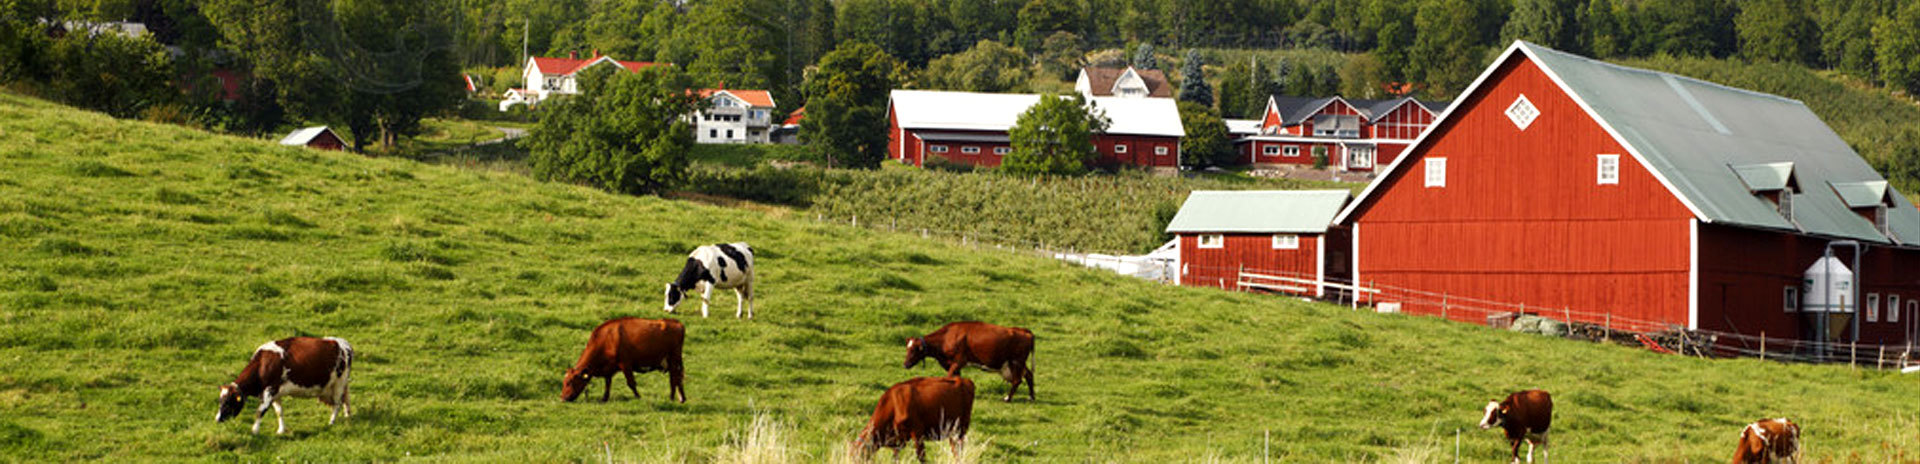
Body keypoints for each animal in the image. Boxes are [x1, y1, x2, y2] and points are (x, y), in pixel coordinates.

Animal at [216, 335, 355, 433]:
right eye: (220, 401)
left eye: (228, 401)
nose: (217, 419)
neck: (263, 364)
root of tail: (342, 342)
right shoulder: (276, 394)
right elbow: (279, 412)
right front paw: (281, 430)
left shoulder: (269, 390)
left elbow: (260, 411)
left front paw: (254, 431)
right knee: (345, 400)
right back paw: (347, 415)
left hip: (339, 383)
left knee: (337, 404)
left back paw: (331, 422)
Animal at [902, 320, 1036, 400]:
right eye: (907, 348)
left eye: (913, 350)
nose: (905, 364)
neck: (947, 337)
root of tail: (1023, 330)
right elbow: (956, 378)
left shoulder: (959, 361)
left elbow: (949, 376)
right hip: (1019, 363)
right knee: (1029, 375)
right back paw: (1031, 397)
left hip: (1016, 362)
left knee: (1017, 380)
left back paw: (1008, 398)